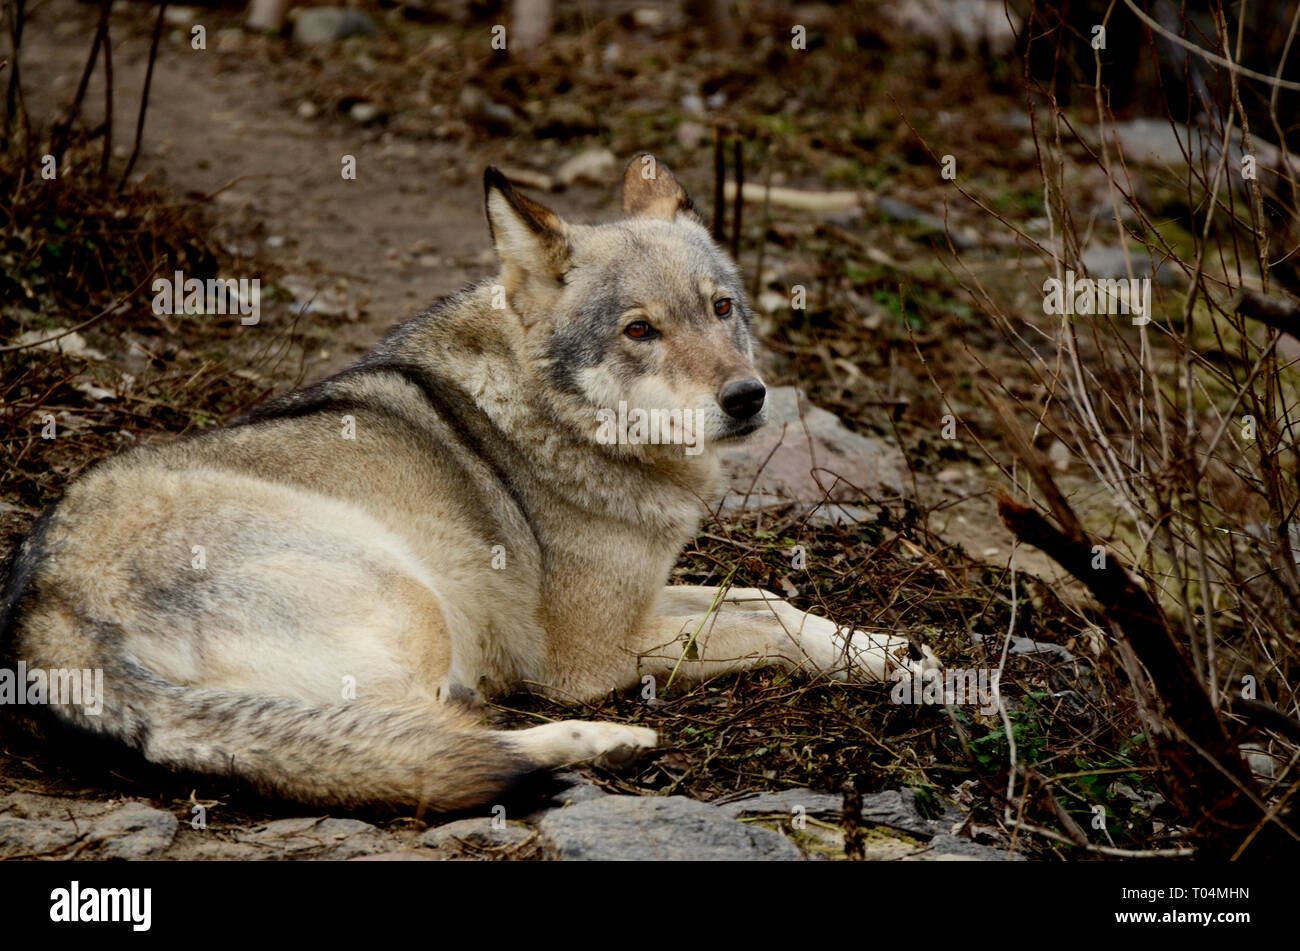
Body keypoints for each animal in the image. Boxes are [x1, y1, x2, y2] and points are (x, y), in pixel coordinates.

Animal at [0, 155, 935, 810]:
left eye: (721, 308)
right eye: (639, 330)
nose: (747, 398)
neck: (553, 420)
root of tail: (46, 613)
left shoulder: (646, 598)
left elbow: (769, 599)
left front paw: (897, 650)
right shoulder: (597, 652)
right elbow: (766, 627)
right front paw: (886, 662)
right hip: (416, 610)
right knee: (435, 734)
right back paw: (602, 739)